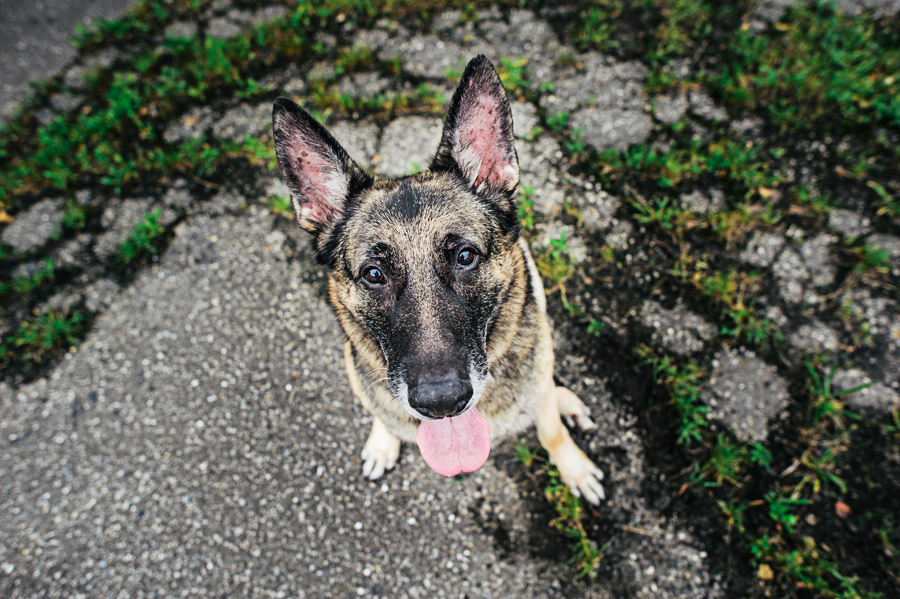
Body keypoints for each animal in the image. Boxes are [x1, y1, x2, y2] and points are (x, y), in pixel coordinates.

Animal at [268, 54, 604, 504]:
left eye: (465, 257)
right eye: (373, 274)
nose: (442, 403)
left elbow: (551, 433)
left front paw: (574, 468)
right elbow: (381, 413)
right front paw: (383, 442)